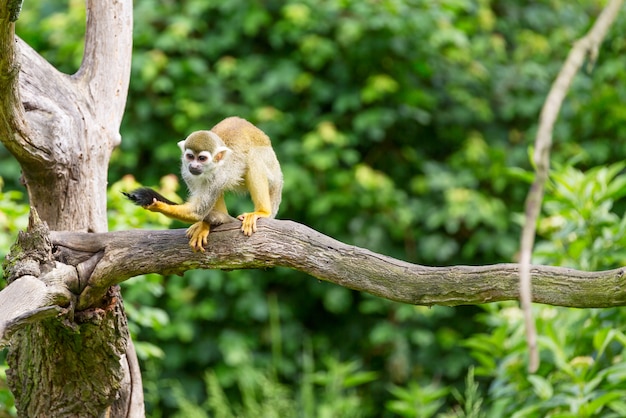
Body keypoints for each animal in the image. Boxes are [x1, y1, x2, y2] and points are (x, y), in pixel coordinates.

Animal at [123, 116, 282, 250]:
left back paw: (263, 211)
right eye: (190, 156)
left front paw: (156, 203)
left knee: (253, 158)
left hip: (270, 166)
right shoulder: (186, 172)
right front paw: (206, 224)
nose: (194, 166)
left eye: (202, 158)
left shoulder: (218, 176)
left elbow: (197, 211)